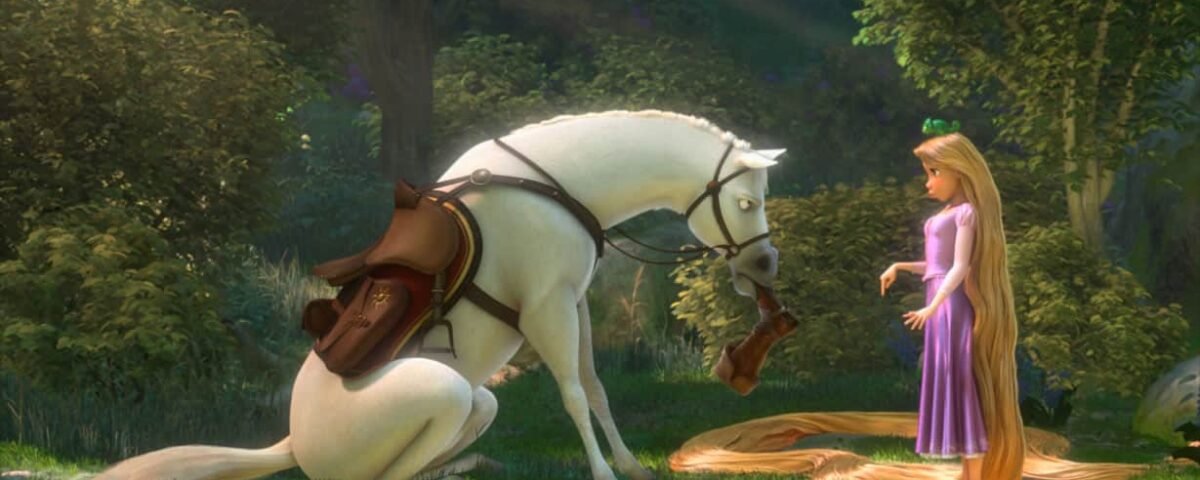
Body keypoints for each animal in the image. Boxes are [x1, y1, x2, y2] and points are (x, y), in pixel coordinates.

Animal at [98, 110, 785, 480]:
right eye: (744, 203)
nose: (764, 267)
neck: (551, 185)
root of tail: (292, 441)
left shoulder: (575, 304)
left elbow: (595, 388)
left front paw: (632, 466)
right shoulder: (548, 308)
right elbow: (570, 394)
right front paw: (600, 471)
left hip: (480, 401)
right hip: (448, 390)